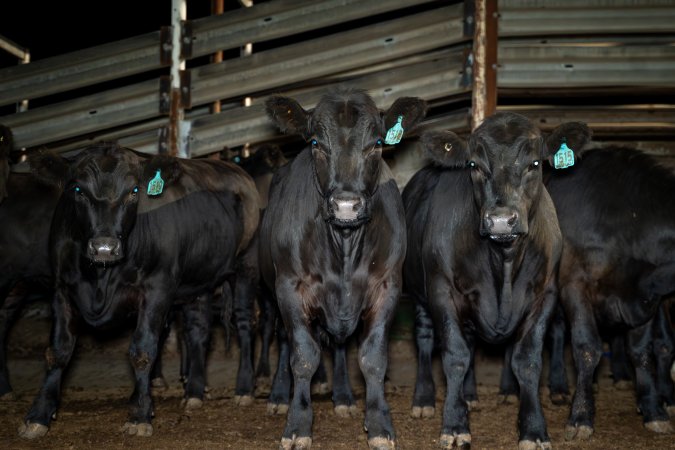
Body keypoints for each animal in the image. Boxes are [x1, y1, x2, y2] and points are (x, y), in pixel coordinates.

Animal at [17, 143, 262, 436]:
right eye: (78, 190)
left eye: (134, 191)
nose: (104, 247)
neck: (101, 277)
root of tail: (237, 171)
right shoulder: (61, 289)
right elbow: (58, 351)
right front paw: (38, 415)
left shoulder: (157, 288)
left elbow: (143, 350)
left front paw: (139, 414)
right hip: (199, 280)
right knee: (198, 331)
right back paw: (194, 392)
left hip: (246, 266)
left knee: (245, 322)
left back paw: (244, 389)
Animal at [260, 89, 426, 450]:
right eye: (315, 143)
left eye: (377, 142)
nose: (346, 206)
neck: (345, 247)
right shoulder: (289, 288)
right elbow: (303, 356)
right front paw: (297, 424)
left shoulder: (387, 287)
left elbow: (373, 358)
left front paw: (379, 425)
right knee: (284, 341)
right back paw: (279, 396)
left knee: (338, 345)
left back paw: (344, 397)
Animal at [404, 111, 588, 446]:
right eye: (474, 165)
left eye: (535, 164)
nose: (501, 221)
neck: (502, 262)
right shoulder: (442, 292)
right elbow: (455, 356)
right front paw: (454, 424)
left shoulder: (544, 295)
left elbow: (527, 360)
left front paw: (533, 429)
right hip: (418, 294)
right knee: (425, 339)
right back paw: (424, 399)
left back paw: (474, 395)